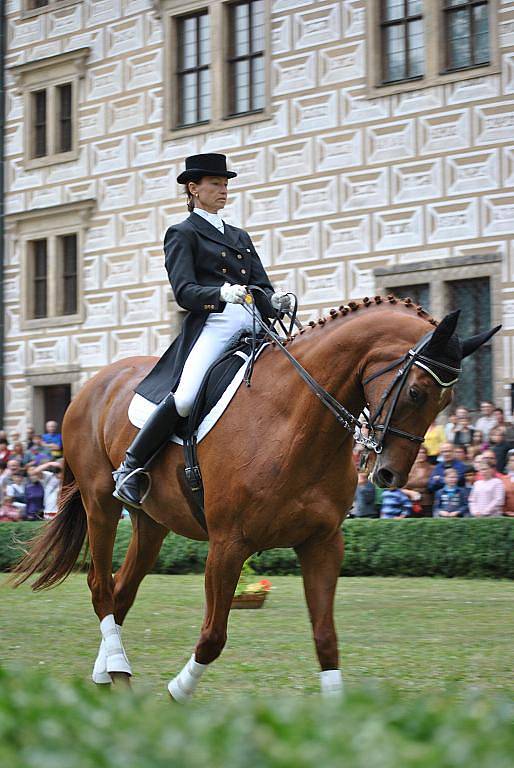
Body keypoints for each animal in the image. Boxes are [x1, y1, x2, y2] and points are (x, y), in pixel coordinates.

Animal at [13, 296, 496, 700]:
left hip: (151, 523)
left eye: (448, 401)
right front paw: (177, 692)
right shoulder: (229, 545)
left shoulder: (323, 544)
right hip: (102, 505)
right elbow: (213, 636)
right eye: (415, 392)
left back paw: (111, 671)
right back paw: (116, 666)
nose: (390, 474)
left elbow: (326, 638)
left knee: (120, 593)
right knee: (100, 587)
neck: (294, 422)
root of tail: (92, 384)